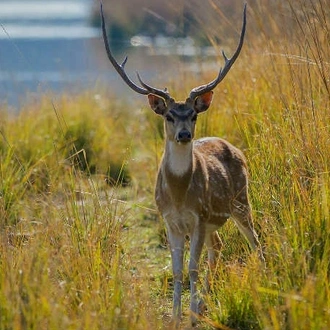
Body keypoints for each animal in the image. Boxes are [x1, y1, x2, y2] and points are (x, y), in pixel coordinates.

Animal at [99, 2, 264, 328]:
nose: (184, 134)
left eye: (194, 115)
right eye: (169, 116)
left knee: (254, 244)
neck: (178, 195)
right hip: (216, 220)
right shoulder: (170, 220)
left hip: (241, 201)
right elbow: (177, 269)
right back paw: (203, 303)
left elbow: (191, 268)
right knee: (218, 248)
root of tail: (236, 148)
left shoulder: (198, 216)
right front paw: (178, 316)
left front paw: (188, 317)